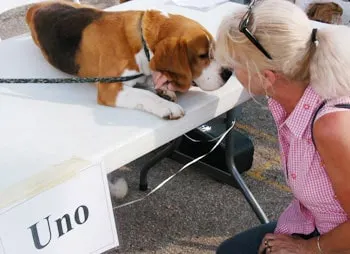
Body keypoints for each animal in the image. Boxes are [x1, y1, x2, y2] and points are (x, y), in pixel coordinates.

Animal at [25, 0, 230, 119]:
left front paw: (164, 90)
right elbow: (145, 94)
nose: (228, 73)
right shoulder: (110, 89)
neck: (142, 41)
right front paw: (167, 106)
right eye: (203, 55)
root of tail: (35, 7)